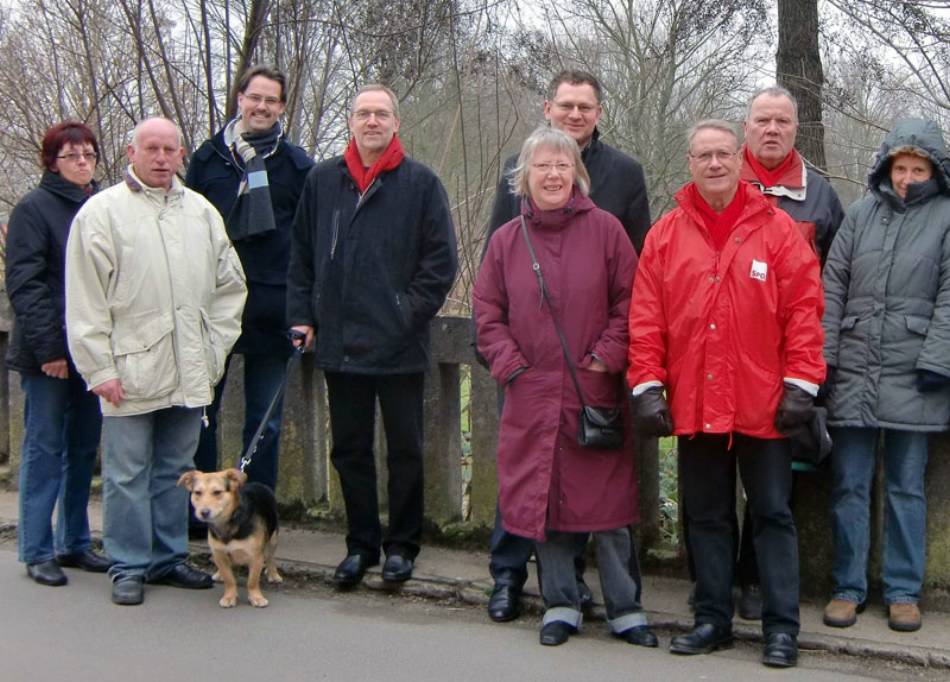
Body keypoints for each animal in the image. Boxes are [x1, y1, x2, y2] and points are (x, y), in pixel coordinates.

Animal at [178, 468, 282, 604]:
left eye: (217, 492)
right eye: (197, 493)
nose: (204, 512)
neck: (228, 523)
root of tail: (259, 484)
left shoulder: (256, 556)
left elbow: (252, 581)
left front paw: (256, 597)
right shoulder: (219, 554)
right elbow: (229, 579)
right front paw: (229, 597)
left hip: (273, 539)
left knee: (270, 557)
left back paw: (273, 574)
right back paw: (219, 574)